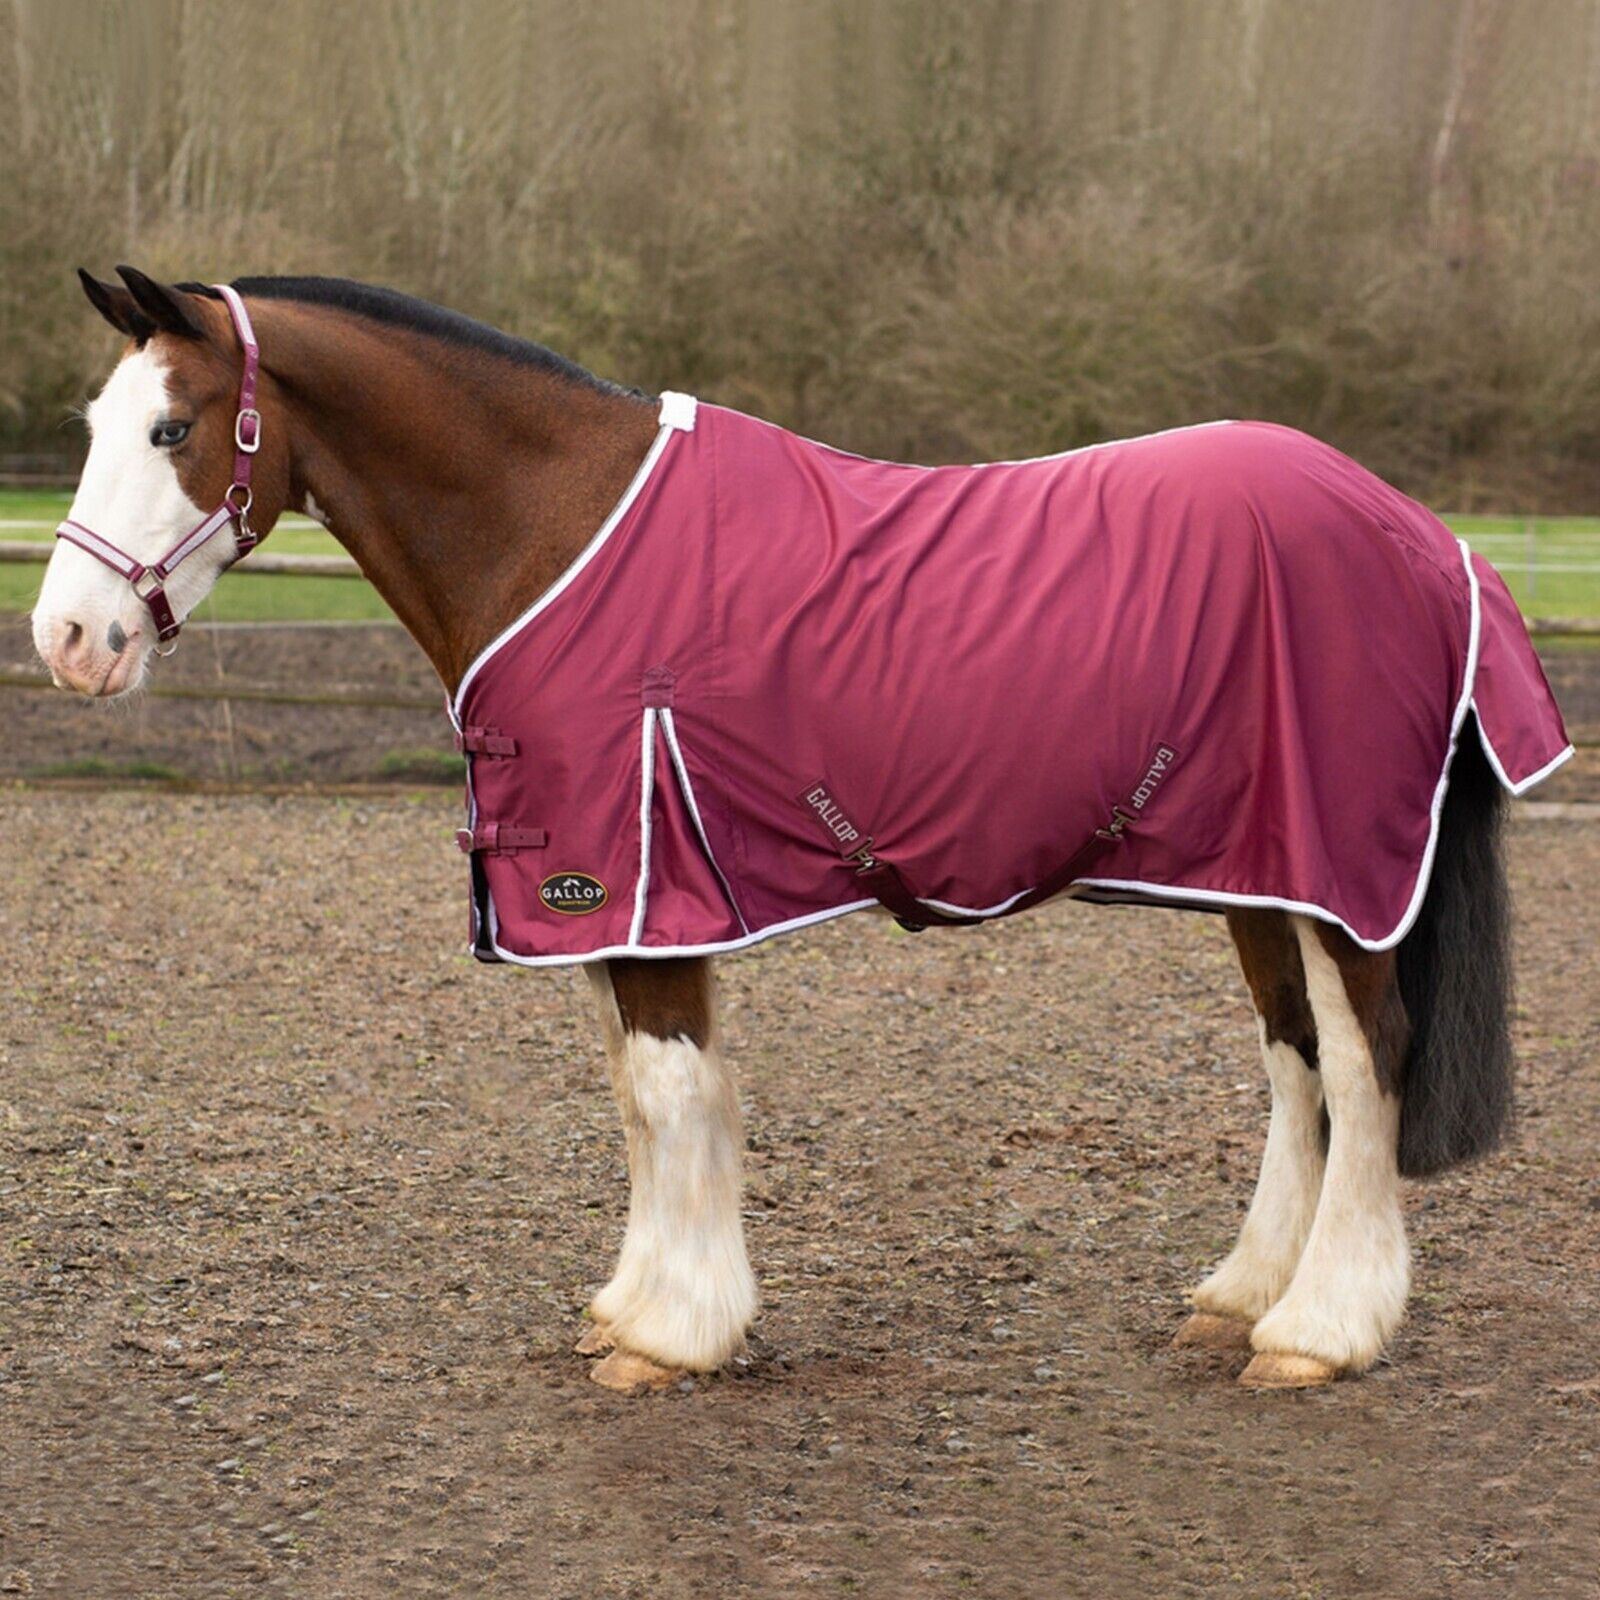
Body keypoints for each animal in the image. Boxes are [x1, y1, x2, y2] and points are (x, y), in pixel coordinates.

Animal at [32, 267, 1571, 1394]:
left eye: (172, 430)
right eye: (96, 429)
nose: (65, 640)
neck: (555, 526)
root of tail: (1428, 538)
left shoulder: (635, 880)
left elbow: (668, 1093)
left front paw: (673, 1337)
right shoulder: (620, 896)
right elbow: (645, 1098)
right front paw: (637, 1307)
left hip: (1338, 877)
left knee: (1366, 1060)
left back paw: (1320, 1332)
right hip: (1261, 872)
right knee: (1296, 1061)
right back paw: (1243, 1298)